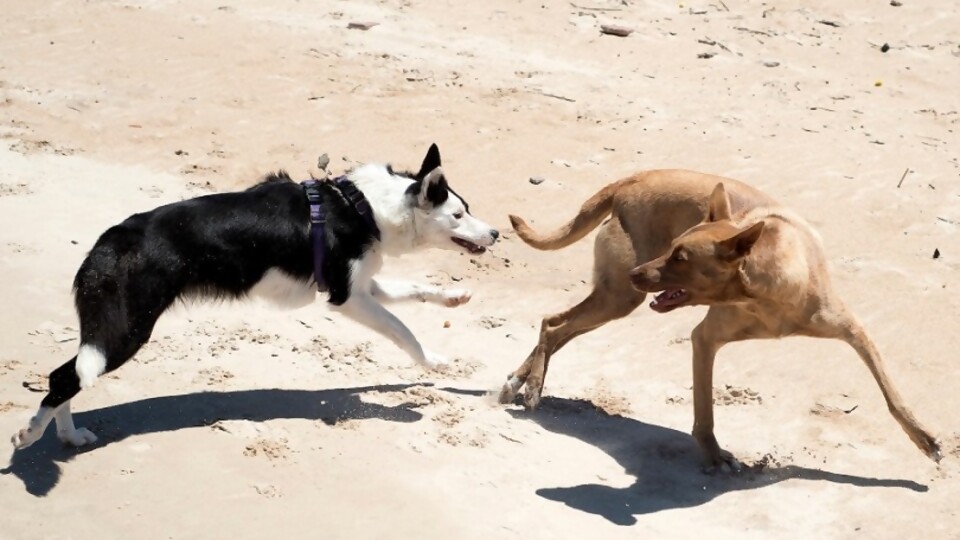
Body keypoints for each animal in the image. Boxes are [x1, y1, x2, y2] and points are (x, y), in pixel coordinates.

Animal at [11, 144, 498, 452]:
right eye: (458, 214)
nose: (495, 233)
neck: (363, 206)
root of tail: (113, 239)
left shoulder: (361, 285)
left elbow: (414, 292)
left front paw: (454, 297)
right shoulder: (347, 297)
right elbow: (403, 331)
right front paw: (432, 363)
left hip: (111, 331)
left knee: (70, 374)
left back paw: (69, 436)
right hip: (126, 331)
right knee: (61, 377)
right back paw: (30, 436)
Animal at [498, 171, 940, 470]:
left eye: (681, 257)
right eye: (673, 248)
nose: (638, 272)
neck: (764, 293)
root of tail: (629, 181)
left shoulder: (854, 331)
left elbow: (891, 393)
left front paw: (922, 437)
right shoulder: (704, 339)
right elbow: (705, 410)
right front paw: (714, 455)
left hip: (616, 300)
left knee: (557, 328)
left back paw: (520, 381)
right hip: (619, 297)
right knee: (553, 324)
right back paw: (532, 387)